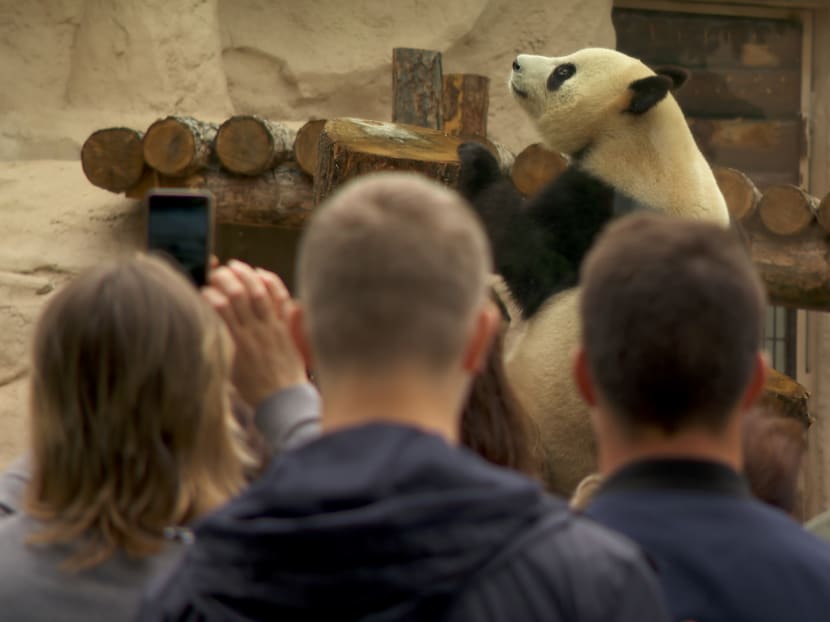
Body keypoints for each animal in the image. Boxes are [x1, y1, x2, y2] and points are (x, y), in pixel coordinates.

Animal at [458, 47, 732, 498]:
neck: (646, 138)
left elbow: (527, 251)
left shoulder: (603, 206)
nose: (516, 62)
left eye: (563, 72)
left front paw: (477, 161)